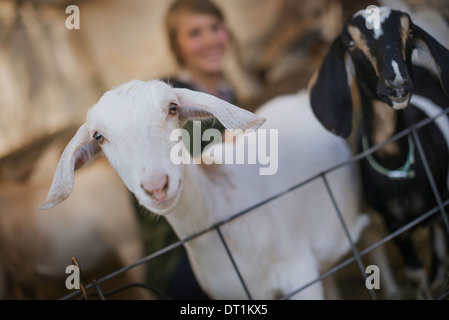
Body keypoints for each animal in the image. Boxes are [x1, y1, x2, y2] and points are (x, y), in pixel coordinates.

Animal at [310, 6, 448, 298]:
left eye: (408, 31)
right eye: (351, 44)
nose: (398, 84)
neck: (396, 162)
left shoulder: (444, 199)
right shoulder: (394, 226)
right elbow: (414, 274)